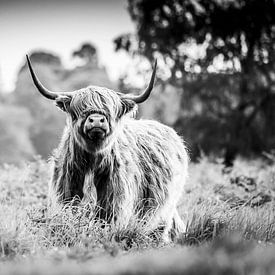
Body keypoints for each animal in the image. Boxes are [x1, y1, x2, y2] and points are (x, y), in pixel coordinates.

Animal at [27, 55, 189, 243]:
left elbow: (106, 220)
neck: (92, 160)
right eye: (79, 109)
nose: (97, 120)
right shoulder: (67, 189)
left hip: (166, 205)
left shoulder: (113, 196)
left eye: (109, 110)